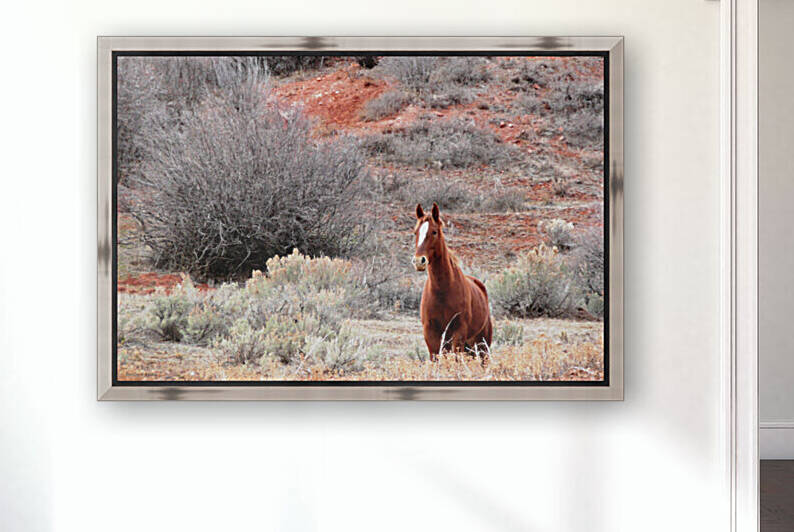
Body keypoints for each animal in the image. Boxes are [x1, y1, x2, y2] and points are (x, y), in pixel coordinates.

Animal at [411, 202, 493, 364]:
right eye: (416, 232)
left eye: (434, 232)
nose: (419, 261)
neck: (443, 290)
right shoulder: (431, 334)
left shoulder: (458, 333)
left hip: (482, 345)